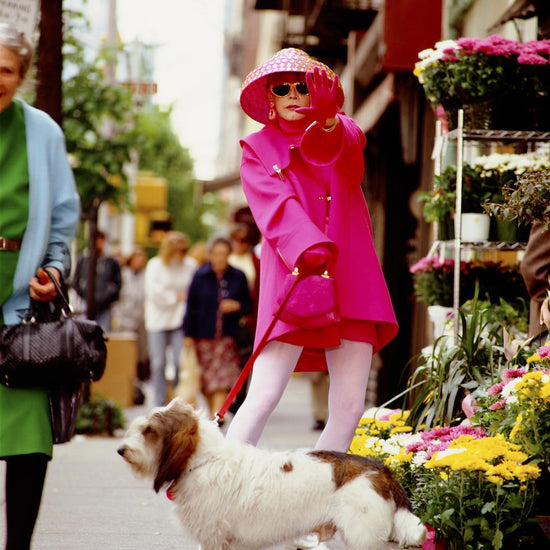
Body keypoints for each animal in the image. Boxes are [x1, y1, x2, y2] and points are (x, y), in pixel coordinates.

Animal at [118, 402, 430, 550]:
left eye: (149, 431)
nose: (121, 450)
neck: (204, 461)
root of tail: (382, 470)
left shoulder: (214, 538)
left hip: (362, 538)